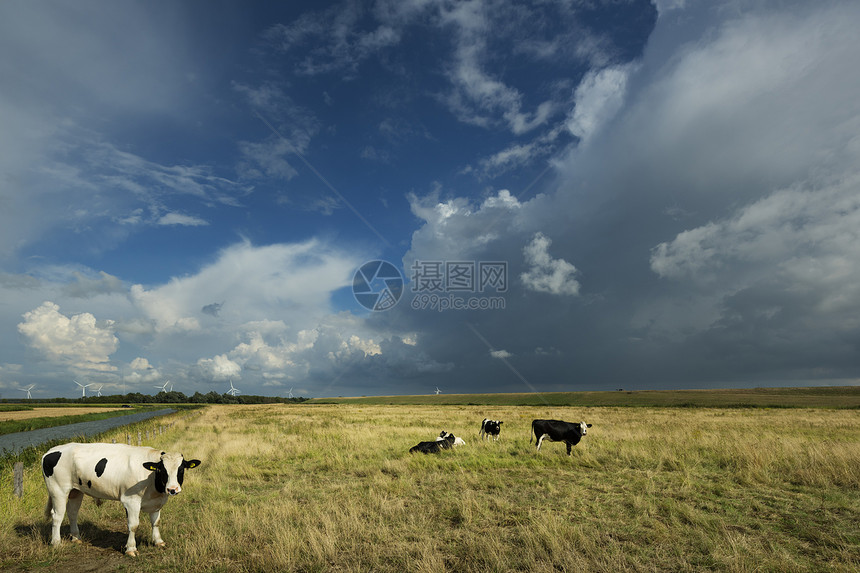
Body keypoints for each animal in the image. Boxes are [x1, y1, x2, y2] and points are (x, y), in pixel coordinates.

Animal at [42, 442, 202, 556]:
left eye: (181, 470)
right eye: (162, 470)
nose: (172, 489)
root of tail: (50, 451)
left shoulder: (156, 502)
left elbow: (156, 522)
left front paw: (159, 542)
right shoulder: (130, 501)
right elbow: (133, 525)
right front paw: (131, 549)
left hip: (76, 491)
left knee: (72, 513)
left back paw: (76, 538)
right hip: (58, 490)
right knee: (57, 516)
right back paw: (56, 542)